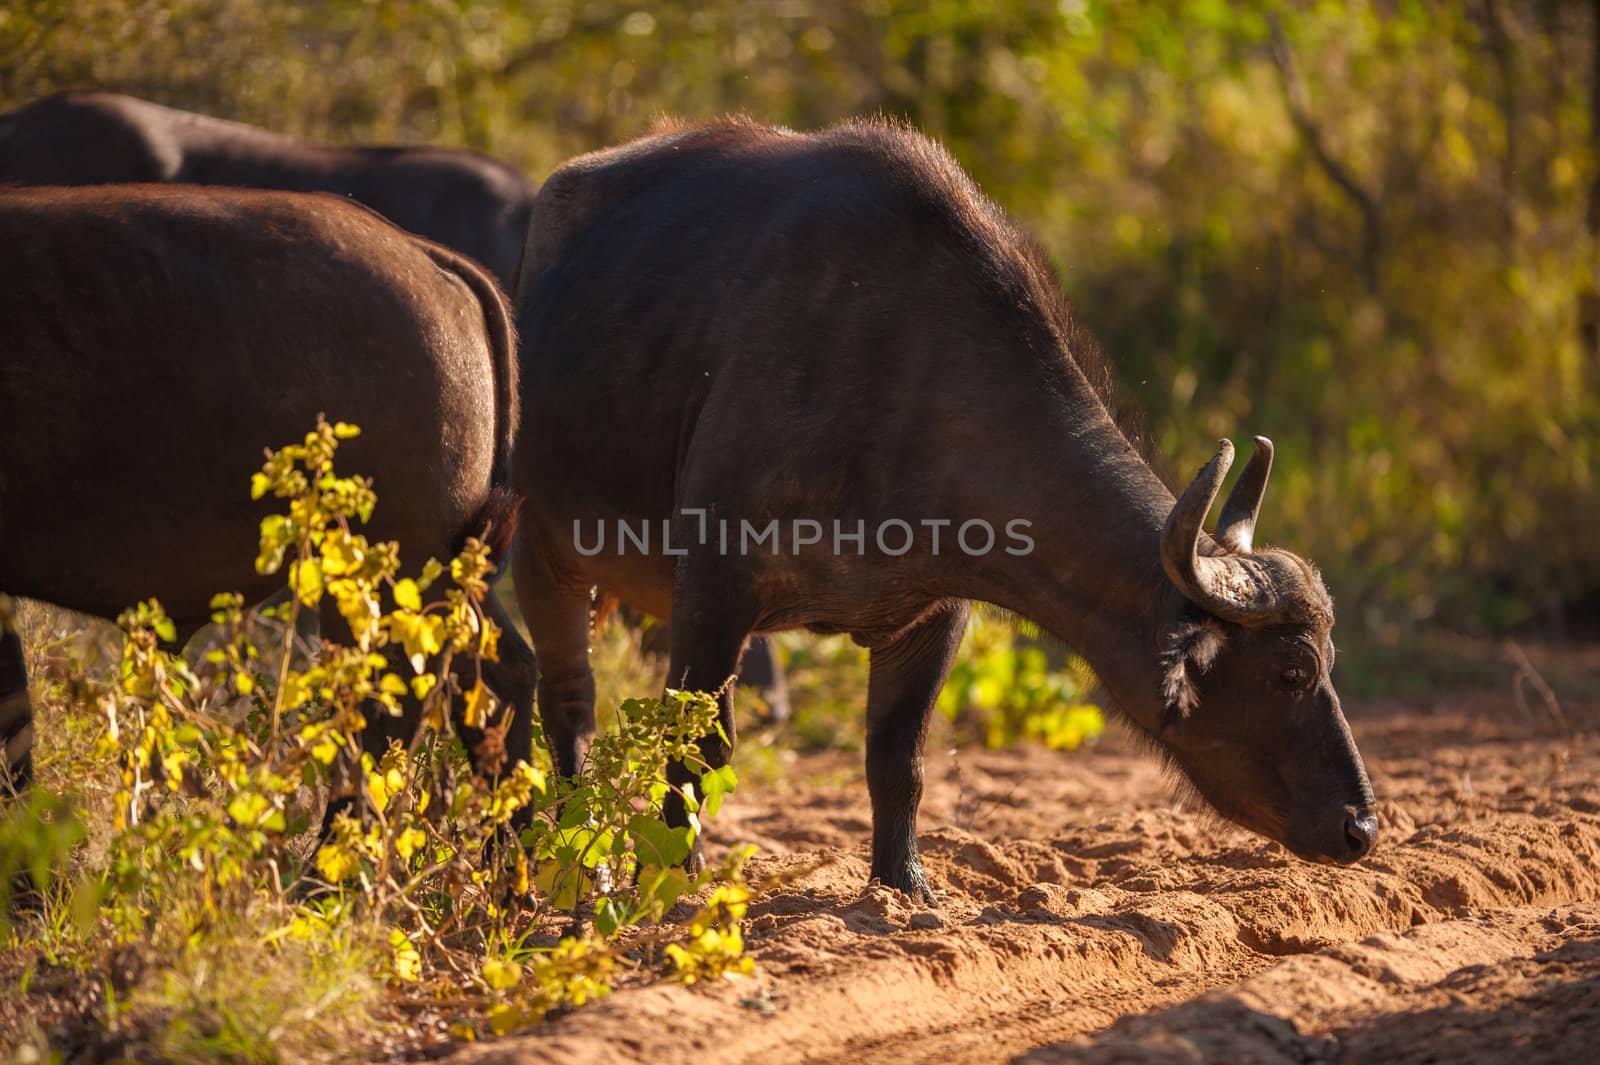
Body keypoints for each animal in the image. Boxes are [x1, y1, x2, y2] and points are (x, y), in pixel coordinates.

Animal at [512, 115, 1376, 895]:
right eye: (1293, 670)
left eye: (1329, 662)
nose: (1361, 826)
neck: (906, 382)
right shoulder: (714, 591)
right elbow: (697, 751)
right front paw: (675, 879)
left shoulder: (930, 615)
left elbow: (899, 761)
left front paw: (904, 885)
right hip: (543, 549)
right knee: (568, 704)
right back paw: (578, 868)